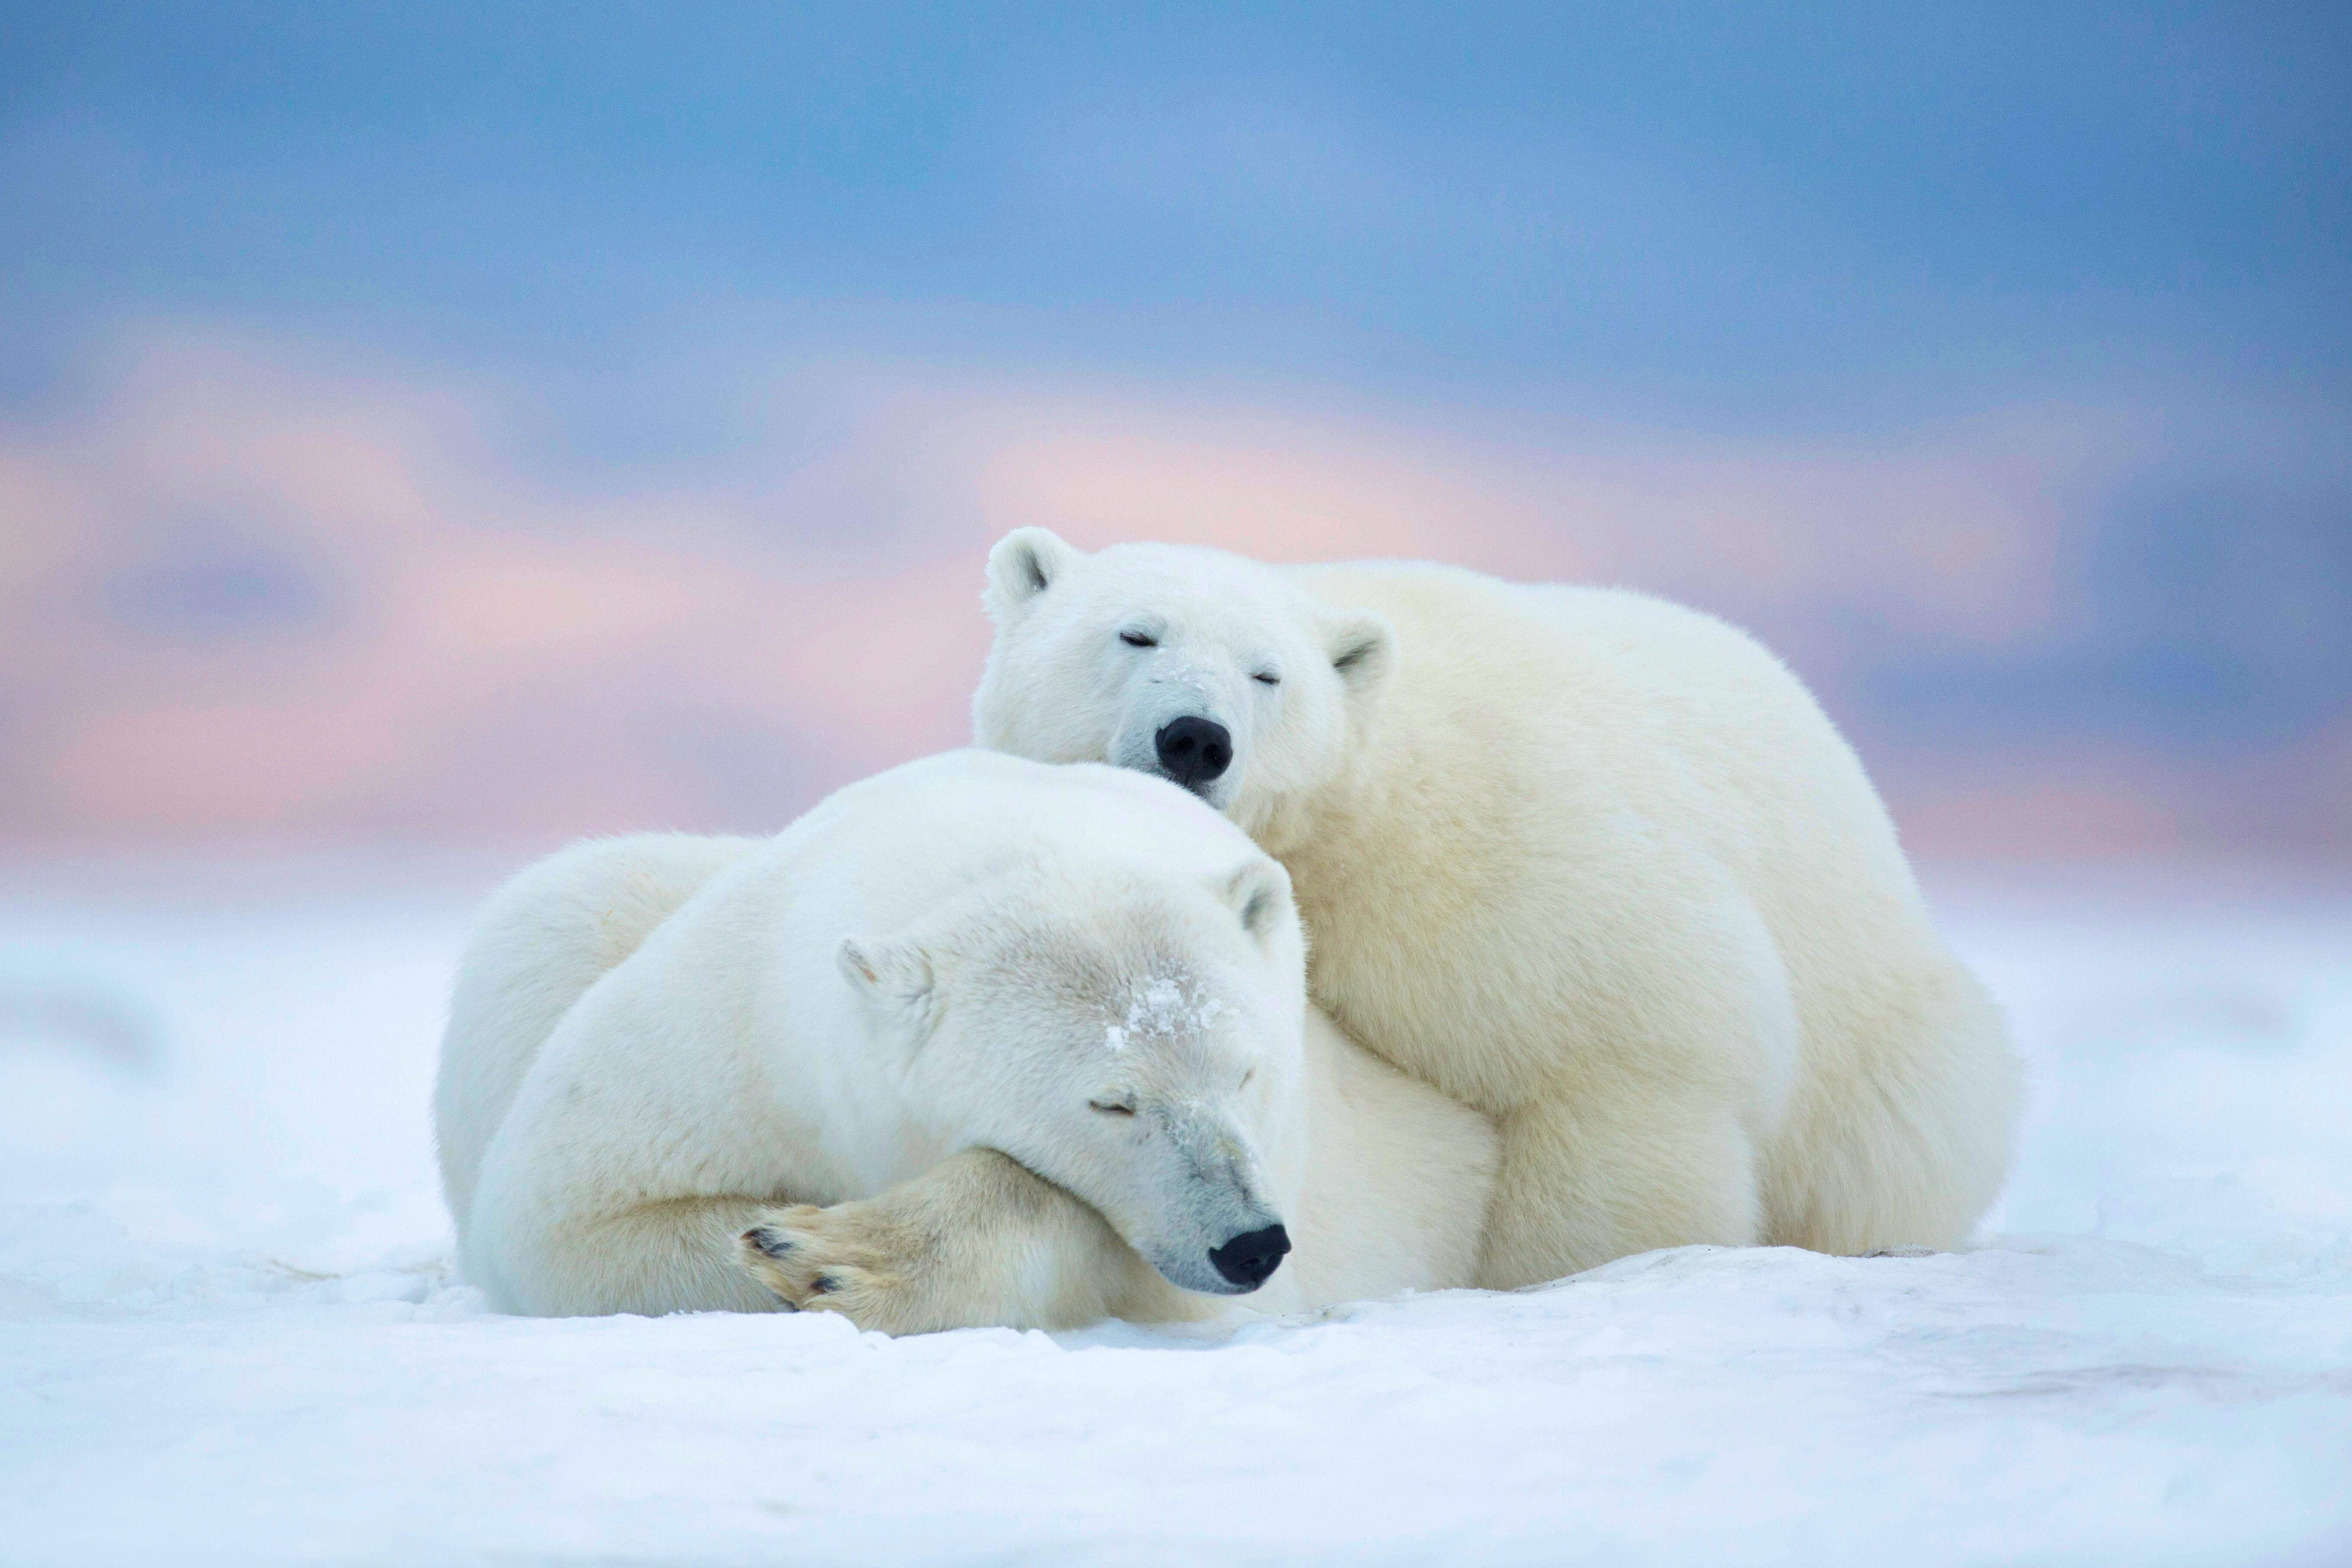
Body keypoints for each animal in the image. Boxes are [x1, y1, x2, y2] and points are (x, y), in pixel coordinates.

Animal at [435, 748, 1496, 1330]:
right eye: (1113, 1100)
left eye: (1245, 1070)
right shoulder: (736, 1030)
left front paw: (836, 1253)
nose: (1250, 1243)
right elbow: (566, 1217)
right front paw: (789, 1240)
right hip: (563, 925)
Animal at [971, 530, 2022, 1287]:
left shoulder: (1498, 860)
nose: (1195, 737)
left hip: (1879, 1036)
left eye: (1268, 674)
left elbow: (1620, 1056)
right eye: (1134, 633)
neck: (1350, 814)